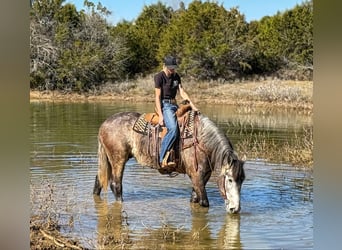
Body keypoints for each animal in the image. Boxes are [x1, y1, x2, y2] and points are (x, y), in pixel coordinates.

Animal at [92, 111, 244, 213]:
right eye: (230, 179)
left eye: (242, 180)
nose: (235, 208)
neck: (202, 140)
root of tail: (104, 124)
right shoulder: (196, 175)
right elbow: (204, 202)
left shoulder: (203, 176)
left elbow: (194, 198)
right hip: (118, 159)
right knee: (116, 185)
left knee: (99, 180)